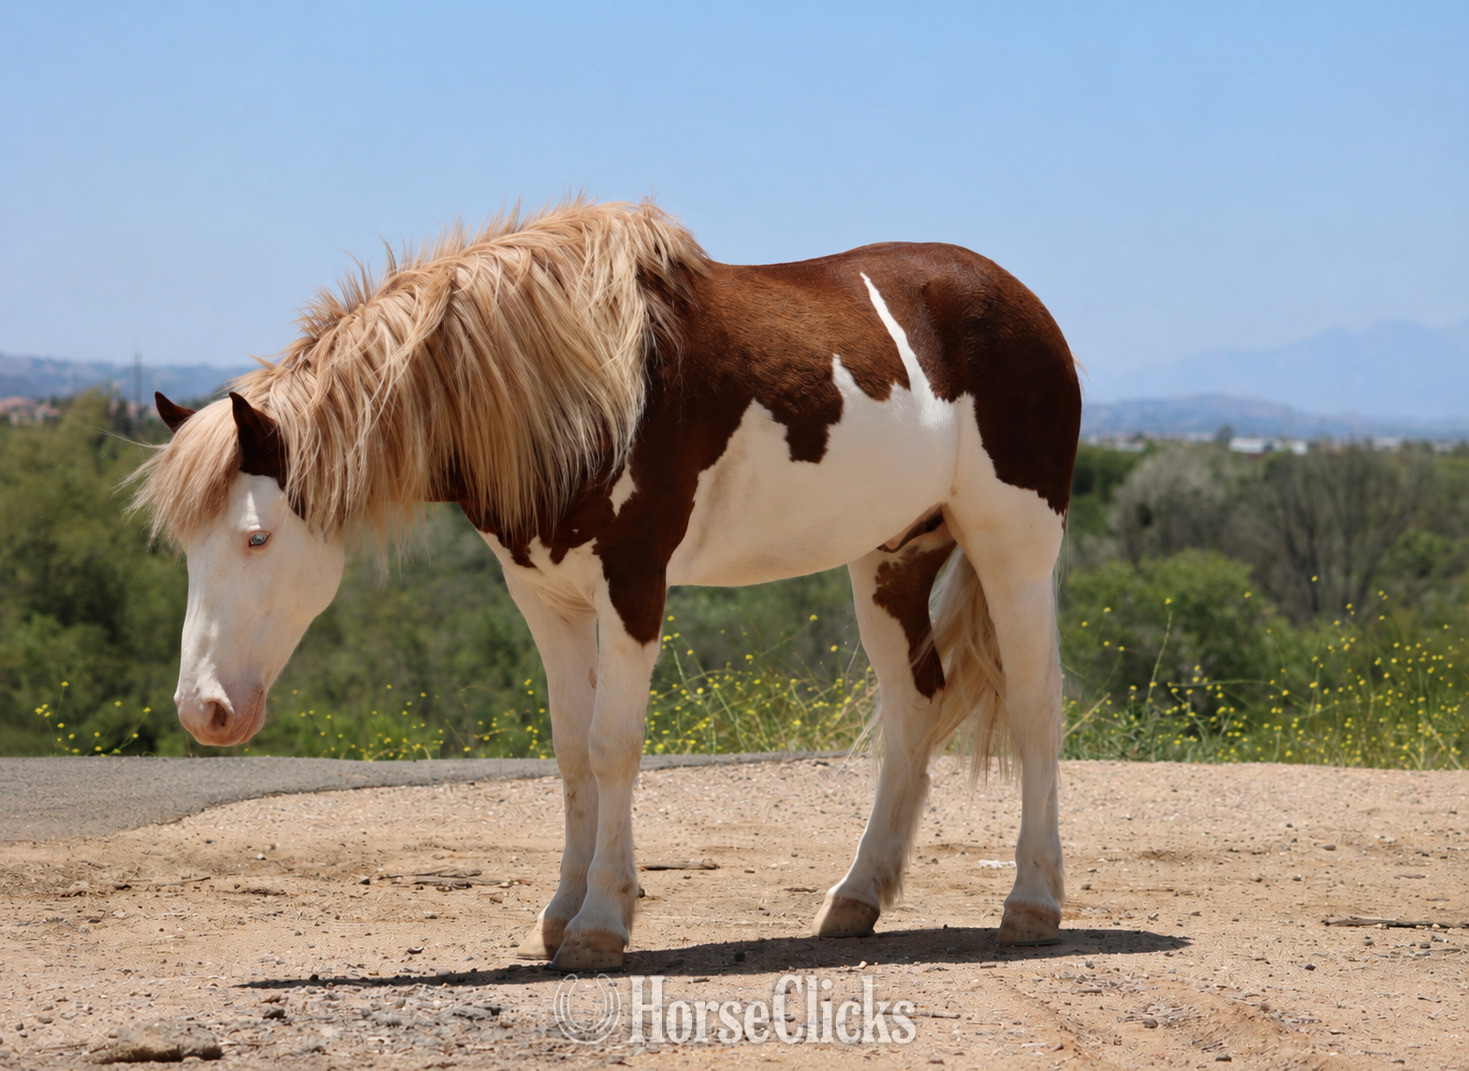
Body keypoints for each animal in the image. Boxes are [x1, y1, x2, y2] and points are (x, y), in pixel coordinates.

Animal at [133, 200, 1081, 972]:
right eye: (185, 548)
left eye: (255, 537)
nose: (204, 711)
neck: (578, 384)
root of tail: (1025, 306)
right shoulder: (545, 597)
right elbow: (569, 749)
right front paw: (558, 913)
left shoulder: (633, 584)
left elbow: (614, 745)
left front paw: (599, 922)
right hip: (889, 559)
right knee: (913, 709)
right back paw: (856, 895)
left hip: (1014, 547)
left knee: (1035, 705)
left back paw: (1031, 903)